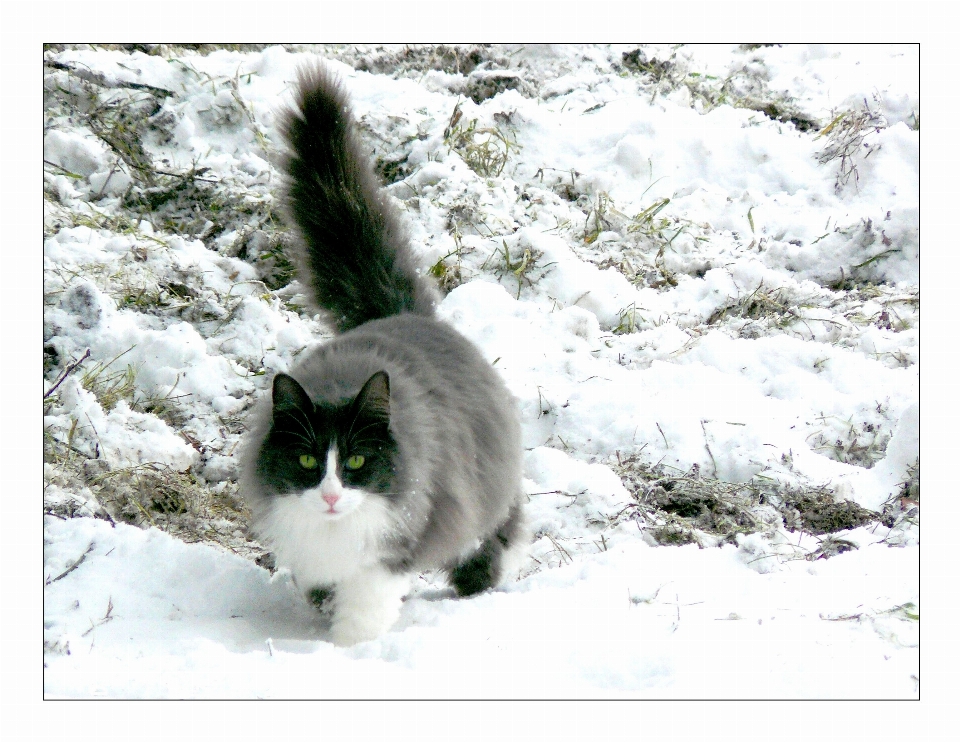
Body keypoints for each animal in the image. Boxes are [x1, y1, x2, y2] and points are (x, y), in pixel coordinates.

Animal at [240, 67, 524, 648]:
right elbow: (323, 586)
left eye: (355, 462)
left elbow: (367, 601)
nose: (330, 496)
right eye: (307, 462)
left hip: (486, 488)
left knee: (499, 531)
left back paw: (481, 581)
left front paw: (347, 648)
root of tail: (408, 315)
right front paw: (323, 615)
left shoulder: (402, 534)